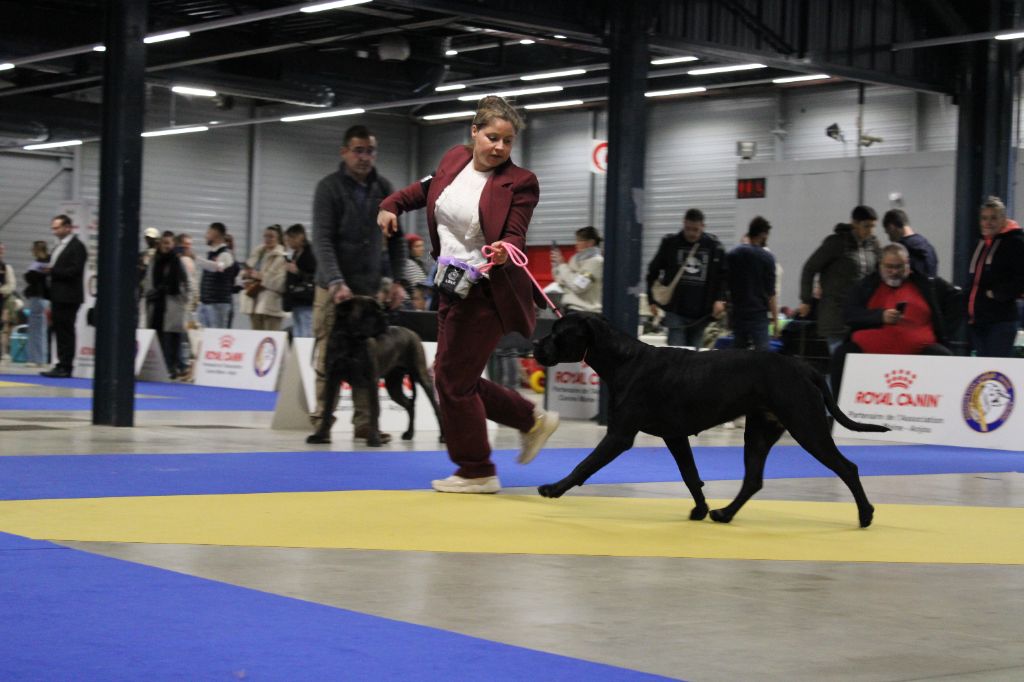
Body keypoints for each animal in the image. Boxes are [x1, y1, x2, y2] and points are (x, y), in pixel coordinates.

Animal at [307, 296, 444, 446]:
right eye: (366, 311)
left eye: (379, 308)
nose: (384, 316)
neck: (350, 341)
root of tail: (412, 333)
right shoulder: (332, 379)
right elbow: (326, 410)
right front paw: (319, 436)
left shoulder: (371, 379)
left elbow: (374, 410)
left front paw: (374, 439)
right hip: (393, 386)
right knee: (409, 405)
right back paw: (409, 433)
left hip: (421, 375)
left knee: (436, 407)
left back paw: (442, 436)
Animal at [532, 313, 892, 524]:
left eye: (558, 332)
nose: (535, 345)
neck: (624, 360)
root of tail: (804, 367)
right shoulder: (675, 436)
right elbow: (691, 476)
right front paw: (701, 509)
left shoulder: (620, 436)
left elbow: (584, 465)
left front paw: (553, 488)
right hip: (759, 432)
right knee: (753, 480)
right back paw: (724, 513)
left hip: (807, 427)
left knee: (847, 467)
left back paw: (865, 514)